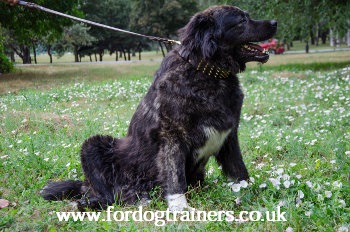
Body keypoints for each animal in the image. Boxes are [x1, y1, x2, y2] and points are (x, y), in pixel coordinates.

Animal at [40, 5, 276, 212]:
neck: (207, 71)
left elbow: (239, 171)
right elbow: (174, 177)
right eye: (241, 20)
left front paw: (253, 191)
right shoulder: (171, 138)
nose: (275, 23)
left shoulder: (229, 136)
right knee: (108, 195)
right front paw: (180, 207)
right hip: (93, 145)